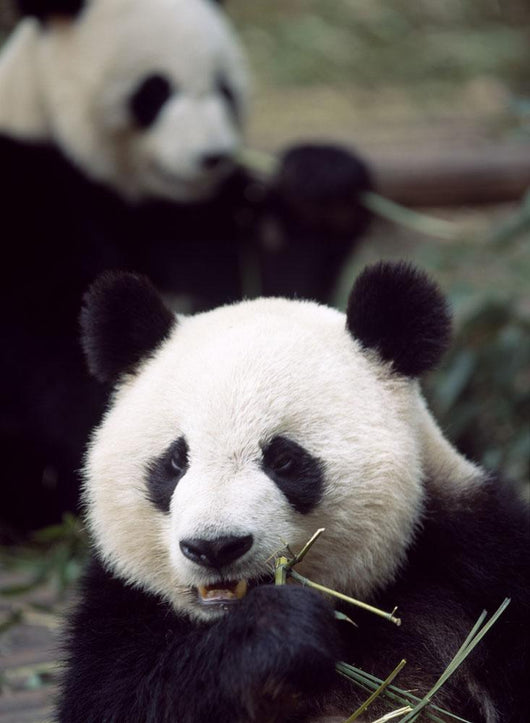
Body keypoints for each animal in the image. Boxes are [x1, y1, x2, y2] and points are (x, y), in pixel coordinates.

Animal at [0, 0, 371, 535]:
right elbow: (59, 342)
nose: (211, 156)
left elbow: (261, 294)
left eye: (225, 88)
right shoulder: (27, 192)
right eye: (153, 92)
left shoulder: (196, 216)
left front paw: (323, 185)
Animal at [58, 262, 529, 722]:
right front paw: (277, 634)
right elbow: (122, 697)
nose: (215, 546)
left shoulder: (476, 559)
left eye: (282, 460)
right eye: (176, 461)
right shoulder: (120, 608)